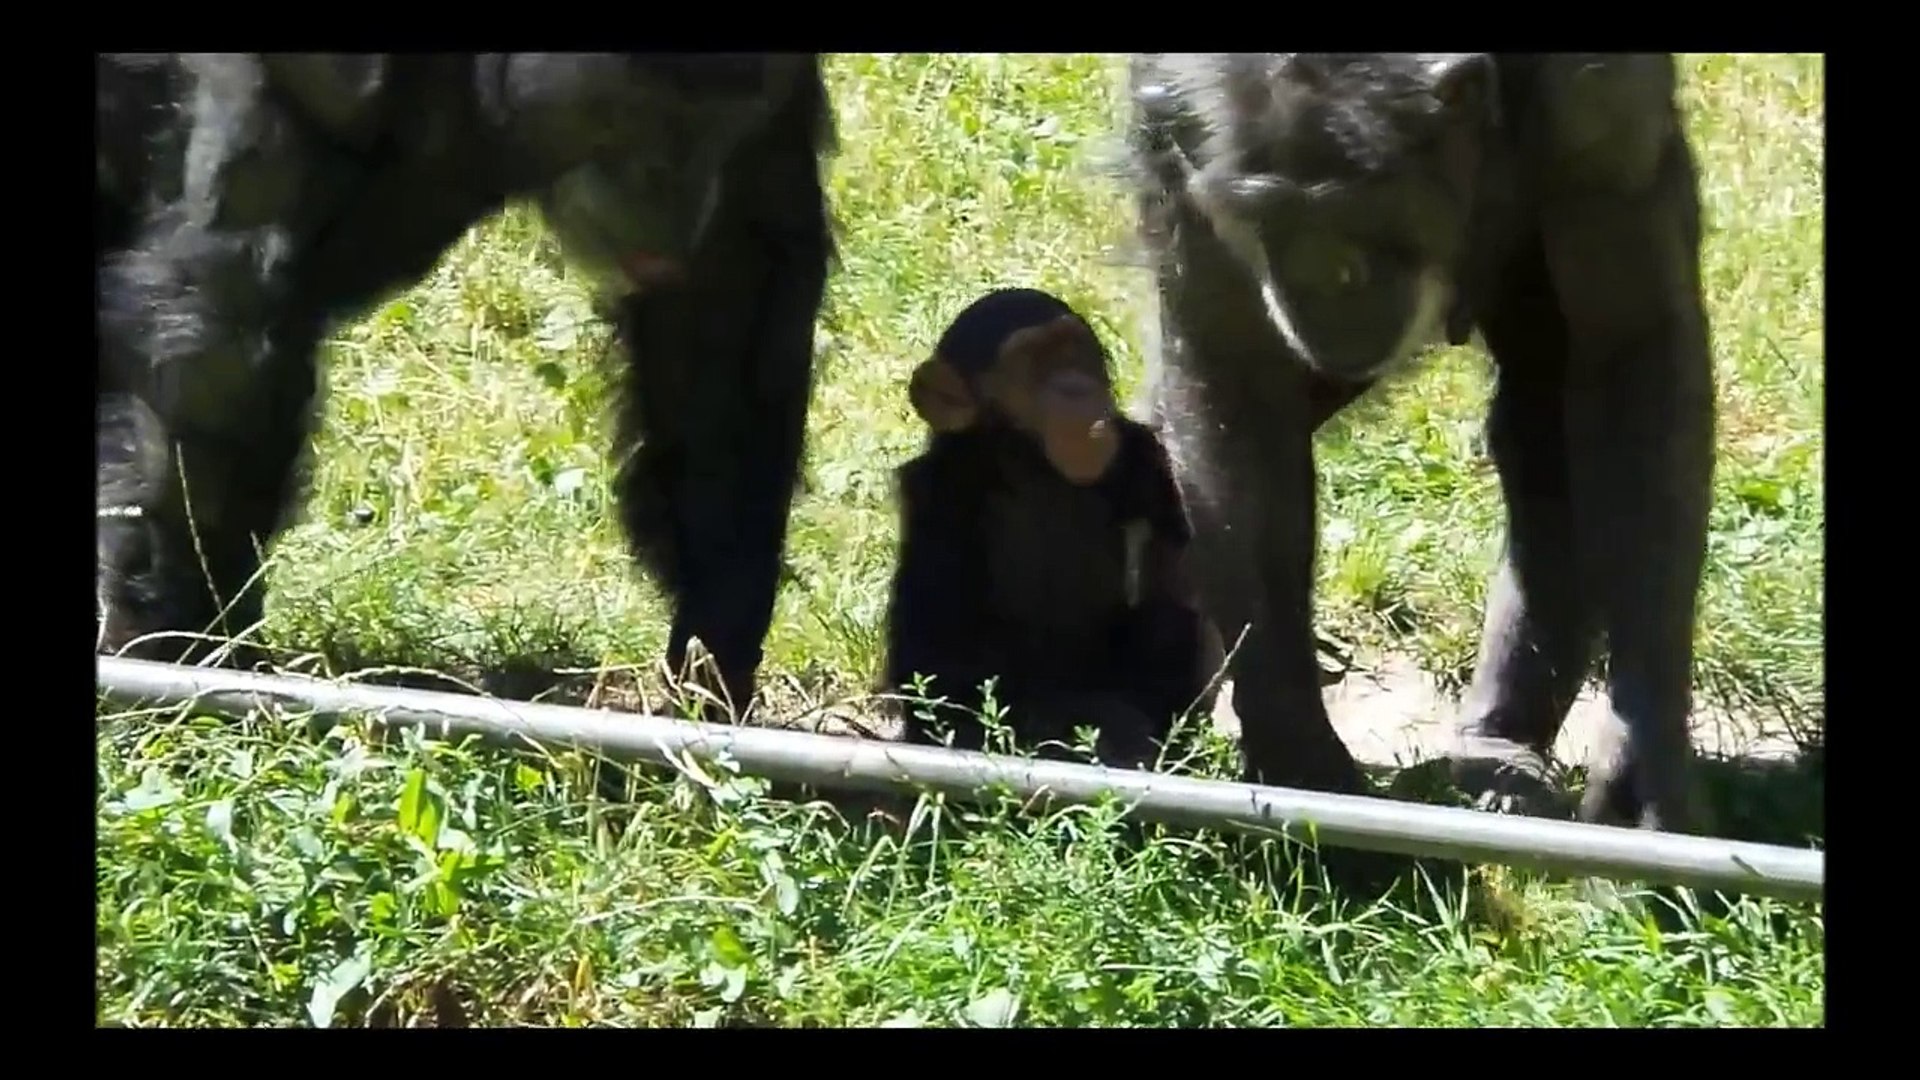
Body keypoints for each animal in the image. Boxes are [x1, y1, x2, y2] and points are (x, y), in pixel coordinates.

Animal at [95, 50, 833, 711]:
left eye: (722, 123)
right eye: (651, 113)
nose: (678, 189)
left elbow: (724, 316)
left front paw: (715, 653)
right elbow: (221, 331)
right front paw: (174, 645)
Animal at [879, 288, 1205, 764]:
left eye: (1073, 351)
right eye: (1033, 364)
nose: (1074, 386)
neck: (1033, 463)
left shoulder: (1149, 464)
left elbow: (1168, 601)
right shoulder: (936, 496)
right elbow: (937, 649)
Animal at [1121, 52, 1720, 834]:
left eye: (1357, 210)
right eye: (1269, 219)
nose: (1318, 276)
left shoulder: (1603, 109)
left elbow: (1632, 347)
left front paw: (1638, 767)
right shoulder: (1180, 132)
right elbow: (1233, 379)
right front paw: (1300, 762)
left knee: (1545, 417)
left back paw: (1497, 751)